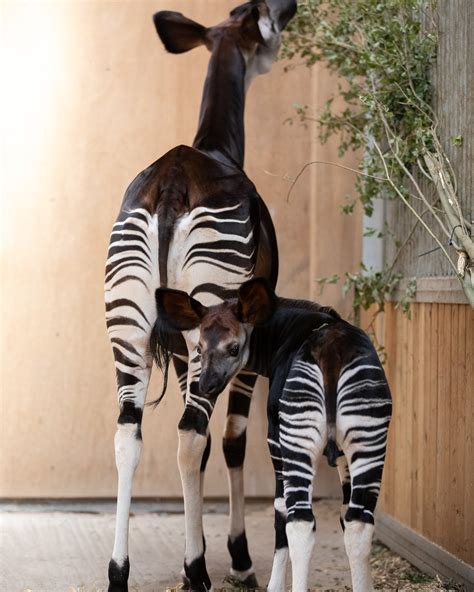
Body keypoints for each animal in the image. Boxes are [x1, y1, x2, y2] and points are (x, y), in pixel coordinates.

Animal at [104, 2, 297, 591]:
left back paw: (118, 571)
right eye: (267, 26)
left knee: (129, 435)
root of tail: (170, 181)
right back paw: (197, 571)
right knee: (191, 434)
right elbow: (230, 440)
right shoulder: (249, 343)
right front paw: (235, 557)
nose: (289, 9)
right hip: (211, 317)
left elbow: (205, 443)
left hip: (126, 329)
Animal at [154, 277, 392, 592]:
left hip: (297, 440)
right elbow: (344, 515)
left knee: (301, 521)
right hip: (369, 439)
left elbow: (281, 515)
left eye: (234, 348)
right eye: (199, 349)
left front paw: (275, 585)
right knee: (359, 522)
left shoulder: (275, 440)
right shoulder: (343, 456)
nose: (205, 385)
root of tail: (331, 354)